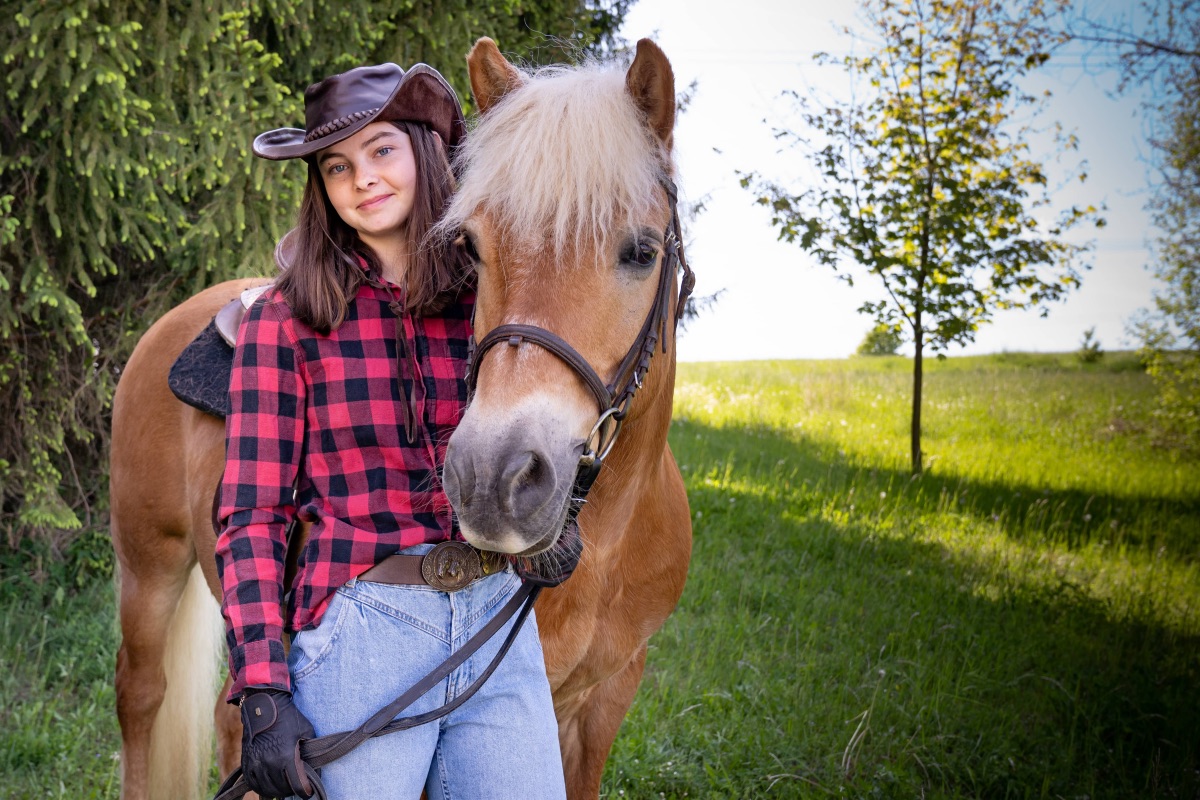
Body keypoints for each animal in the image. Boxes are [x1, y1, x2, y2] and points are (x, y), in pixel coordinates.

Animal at [114, 35, 696, 800]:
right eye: (472, 249)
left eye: (641, 251)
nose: (492, 480)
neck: (608, 537)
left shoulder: (604, 701)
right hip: (149, 564)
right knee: (141, 695)